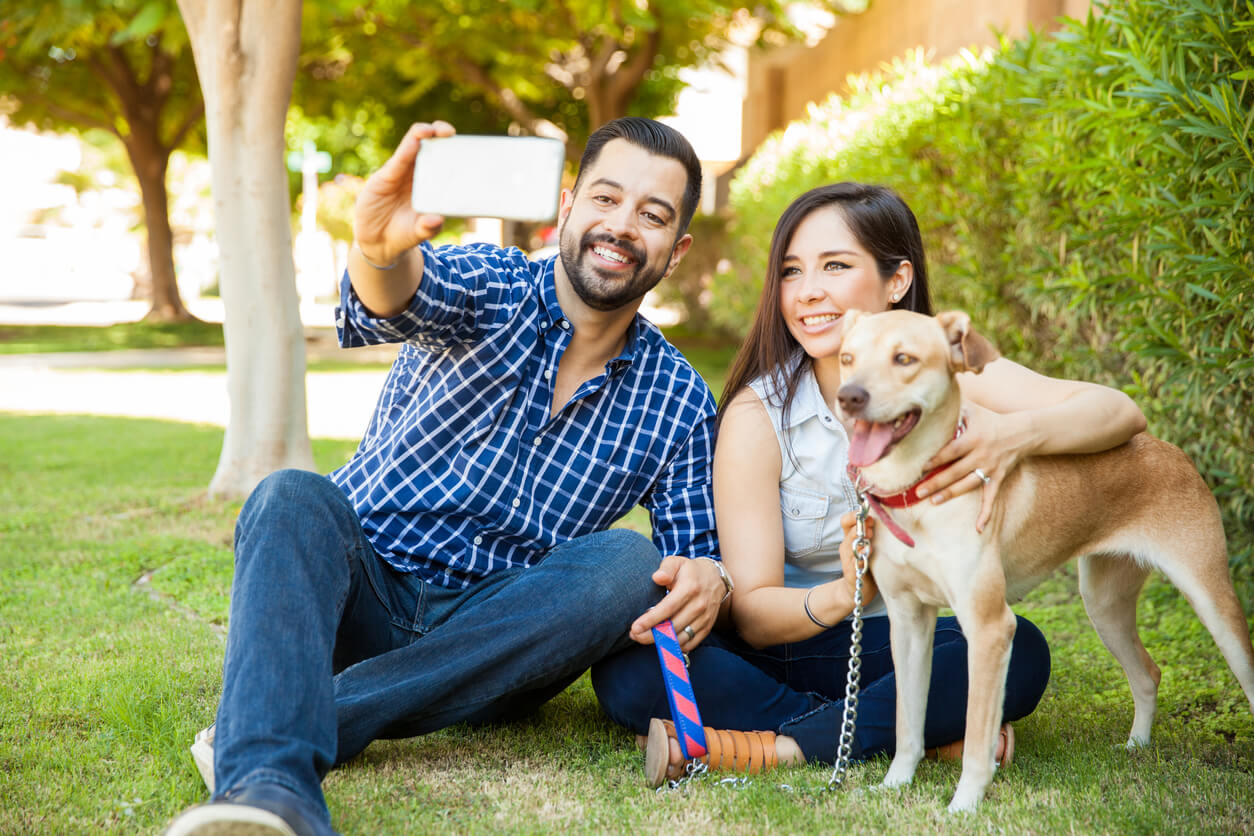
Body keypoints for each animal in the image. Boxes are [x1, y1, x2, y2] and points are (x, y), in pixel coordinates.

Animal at [832, 307, 1254, 812]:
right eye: (847, 358)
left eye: (904, 359)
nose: (848, 396)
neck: (915, 493)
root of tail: (1169, 449)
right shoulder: (908, 621)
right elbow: (907, 721)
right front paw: (896, 783)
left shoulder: (991, 627)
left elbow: (977, 733)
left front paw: (964, 804)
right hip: (1103, 605)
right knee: (1147, 674)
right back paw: (1136, 746)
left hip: (1211, 599)